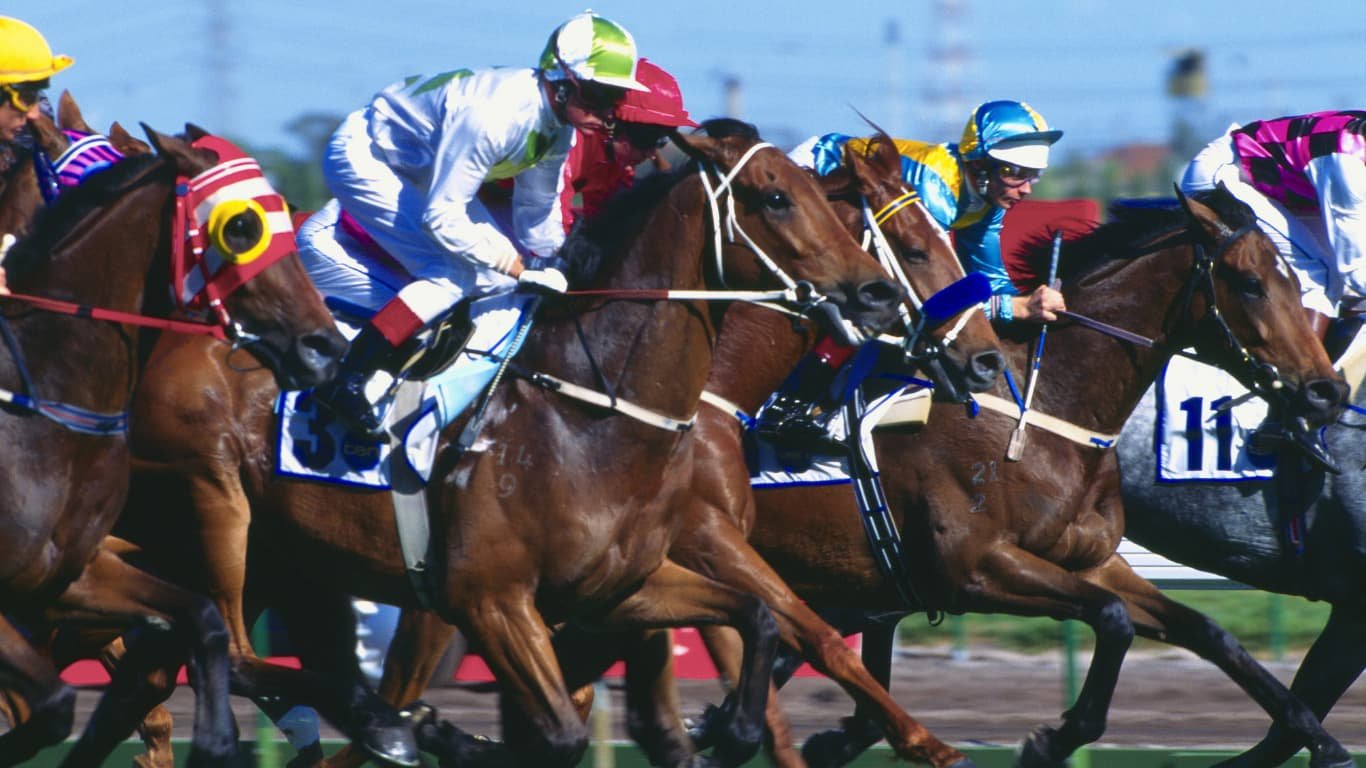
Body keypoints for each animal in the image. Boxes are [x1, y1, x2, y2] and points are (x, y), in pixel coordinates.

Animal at [109, 116, 917, 759]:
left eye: (819, 198)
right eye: (776, 197)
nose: (876, 293)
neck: (589, 416)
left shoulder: (619, 589)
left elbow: (760, 622)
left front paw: (735, 727)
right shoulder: (487, 599)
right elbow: (557, 733)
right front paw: (440, 732)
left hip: (278, 556)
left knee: (162, 658)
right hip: (215, 511)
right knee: (235, 649)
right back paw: (379, 724)